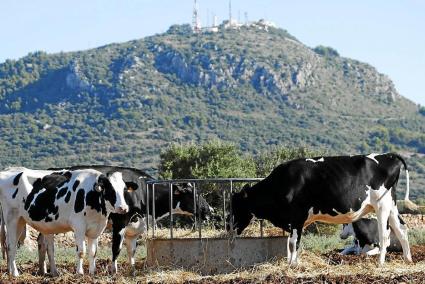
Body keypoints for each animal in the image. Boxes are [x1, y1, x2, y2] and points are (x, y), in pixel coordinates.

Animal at [0, 168, 129, 276]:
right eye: (110, 189)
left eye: (124, 189)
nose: (123, 208)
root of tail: (8, 170)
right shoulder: (79, 226)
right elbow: (81, 251)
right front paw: (80, 272)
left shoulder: (95, 229)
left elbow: (93, 252)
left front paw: (92, 273)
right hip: (12, 218)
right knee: (11, 245)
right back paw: (15, 273)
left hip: (21, 220)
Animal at [229, 153, 410, 266]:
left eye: (236, 206)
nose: (230, 227)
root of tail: (388, 155)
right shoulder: (296, 221)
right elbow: (292, 242)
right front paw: (292, 262)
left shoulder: (297, 215)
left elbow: (293, 242)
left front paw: (293, 264)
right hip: (392, 205)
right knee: (401, 229)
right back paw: (408, 259)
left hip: (382, 205)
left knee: (385, 234)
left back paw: (381, 263)